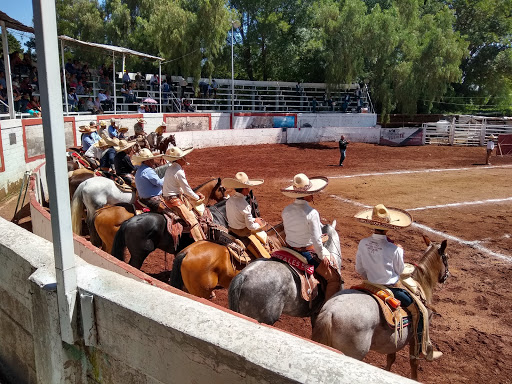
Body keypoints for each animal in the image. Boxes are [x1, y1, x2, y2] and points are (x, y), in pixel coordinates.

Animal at [308, 236, 448, 380]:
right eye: (446, 258)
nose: (445, 277)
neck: (421, 284)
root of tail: (330, 312)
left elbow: (391, 357)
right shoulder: (417, 333)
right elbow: (413, 361)